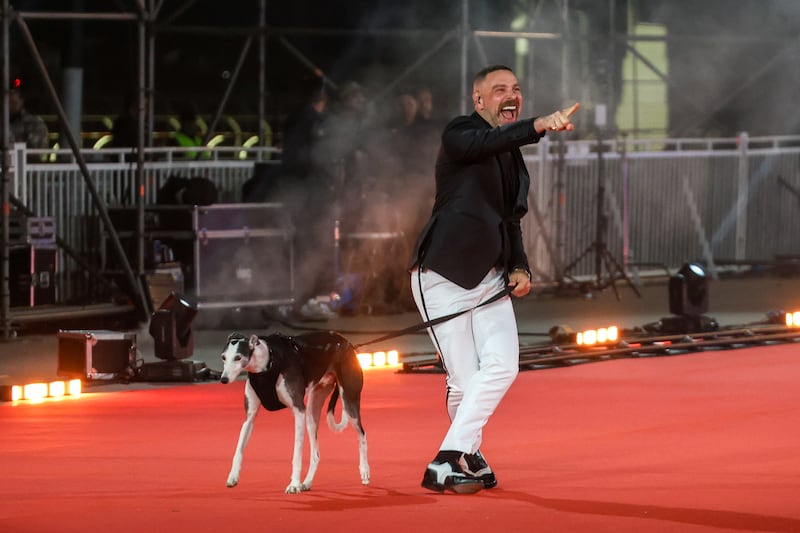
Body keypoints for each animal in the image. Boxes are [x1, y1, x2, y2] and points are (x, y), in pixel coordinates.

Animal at [219, 330, 368, 492]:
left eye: (238, 357)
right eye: (223, 357)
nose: (223, 379)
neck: (267, 365)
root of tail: (344, 340)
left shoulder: (299, 411)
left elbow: (297, 453)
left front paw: (294, 484)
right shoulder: (249, 418)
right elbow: (239, 448)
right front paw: (233, 476)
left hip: (349, 402)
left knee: (361, 434)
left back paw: (365, 471)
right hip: (312, 413)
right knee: (315, 454)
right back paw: (307, 482)